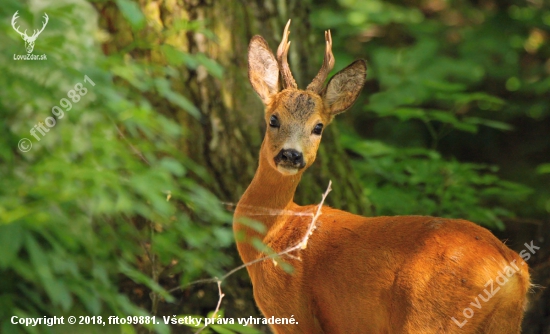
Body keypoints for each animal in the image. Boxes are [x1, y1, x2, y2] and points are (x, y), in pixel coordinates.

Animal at [235, 19, 532, 332]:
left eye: (318, 127)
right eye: (273, 119)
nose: (291, 155)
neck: (274, 234)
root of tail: (513, 268)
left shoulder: (289, 310)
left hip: (431, 317)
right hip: (504, 322)